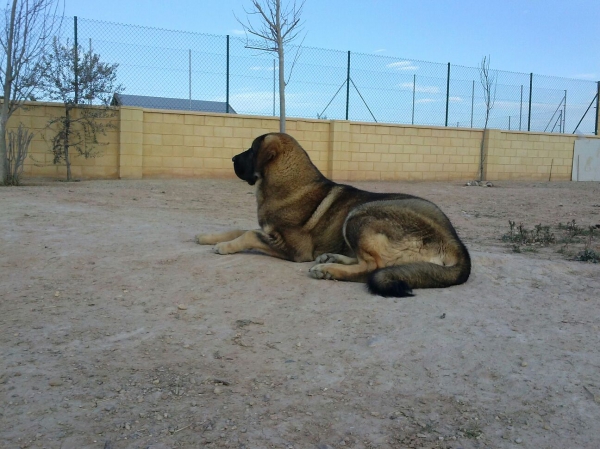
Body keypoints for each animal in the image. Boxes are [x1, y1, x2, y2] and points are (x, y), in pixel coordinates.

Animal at [195, 131, 472, 296]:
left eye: (252, 150)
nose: (232, 158)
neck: (288, 182)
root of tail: (456, 244)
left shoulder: (295, 250)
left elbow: (249, 235)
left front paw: (224, 247)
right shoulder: (270, 233)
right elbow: (239, 229)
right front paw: (208, 237)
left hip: (360, 214)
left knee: (373, 266)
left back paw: (328, 270)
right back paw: (330, 259)